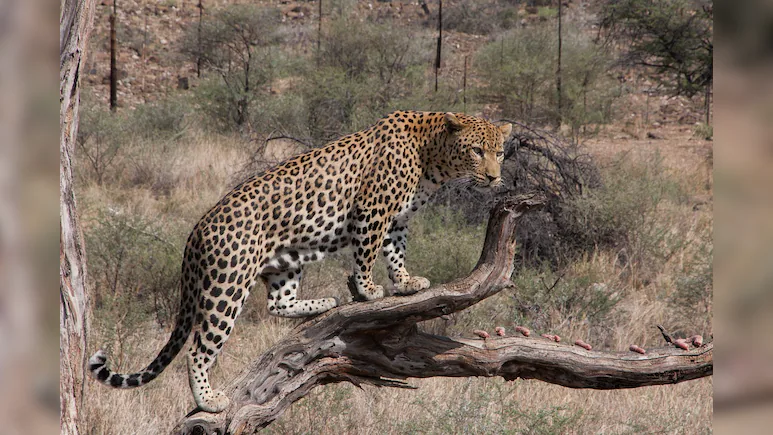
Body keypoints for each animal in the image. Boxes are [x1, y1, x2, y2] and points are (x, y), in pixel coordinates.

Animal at [89, 111, 513, 413]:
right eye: (477, 151)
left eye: (500, 152)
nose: (495, 178)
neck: (433, 158)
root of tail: (197, 228)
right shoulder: (372, 210)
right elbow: (366, 252)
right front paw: (367, 290)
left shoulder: (397, 219)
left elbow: (395, 251)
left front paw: (405, 282)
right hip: (227, 285)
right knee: (199, 347)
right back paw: (208, 400)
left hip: (285, 262)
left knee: (278, 303)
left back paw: (323, 303)